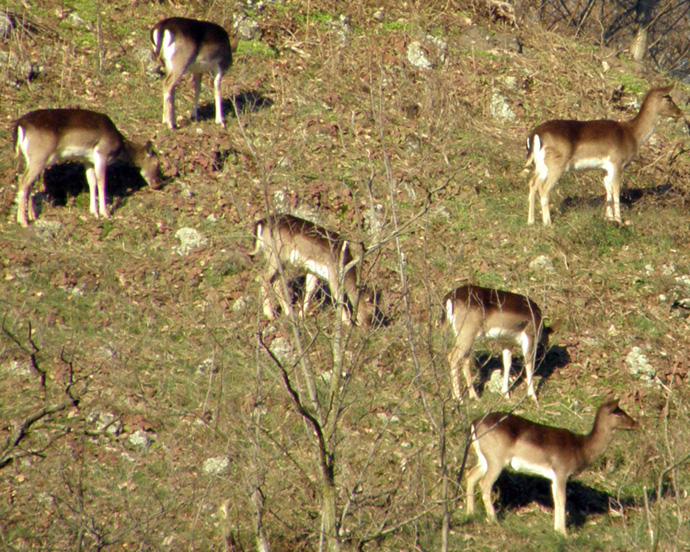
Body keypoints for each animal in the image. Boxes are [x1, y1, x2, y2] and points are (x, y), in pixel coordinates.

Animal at [12, 108, 161, 226]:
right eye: (157, 163)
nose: (158, 184)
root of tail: (21, 125)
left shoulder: (88, 160)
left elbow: (92, 181)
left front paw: (94, 212)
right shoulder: (102, 153)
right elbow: (102, 181)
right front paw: (105, 213)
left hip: (31, 160)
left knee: (29, 183)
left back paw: (32, 216)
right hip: (39, 156)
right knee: (23, 181)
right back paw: (23, 222)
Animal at [247, 215, 376, 328]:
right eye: (372, 310)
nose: (367, 327)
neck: (345, 264)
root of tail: (261, 223)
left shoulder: (313, 271)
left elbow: (310, 289)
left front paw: (302, 316)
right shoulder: (333, 273)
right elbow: (338, 295)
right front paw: (347, 323)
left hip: (280, 260)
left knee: (276, 282)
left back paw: (289, 313)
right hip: (276, 255)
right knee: (263, 278)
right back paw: (270, 315)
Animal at [464, 398, 636, 536]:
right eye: (618, 413)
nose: (635, 423)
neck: (581, 450)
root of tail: (473, 424)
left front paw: (558, 529)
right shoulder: (561, 470)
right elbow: (561, 499)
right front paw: (563, 532)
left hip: (484, 458)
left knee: (470, 474)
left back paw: (470, 513)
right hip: (496, 458)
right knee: (484, 483)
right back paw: (493, 519)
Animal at [524, 84, 680, 226]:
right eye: (669, 99)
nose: (679, 113)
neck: (633, 136)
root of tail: (536, 134)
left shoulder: (605, 168)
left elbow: (608, 190)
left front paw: (608, 218)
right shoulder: (617, 162)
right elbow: (616, 191)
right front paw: (619, 220)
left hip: (540, 165)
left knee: (532, 183)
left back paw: (531, 221)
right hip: (556, 163)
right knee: (543, 188)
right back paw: (548, 223)